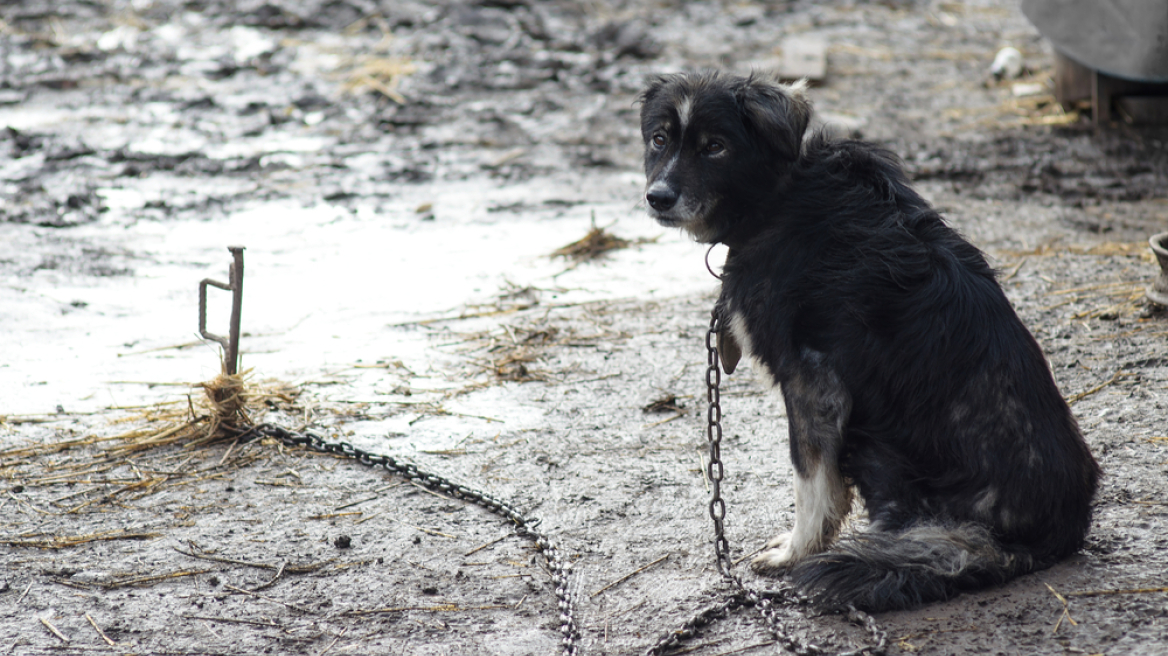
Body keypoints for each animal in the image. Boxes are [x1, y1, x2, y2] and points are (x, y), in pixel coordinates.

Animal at [644, 74, 1097, 611]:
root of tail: (1051, 537)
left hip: (879, 443)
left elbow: (812, 480)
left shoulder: (813, 382)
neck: (779, 194)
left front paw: (796, 552)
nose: (657, 197)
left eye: (715, 146)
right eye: (659, 140)